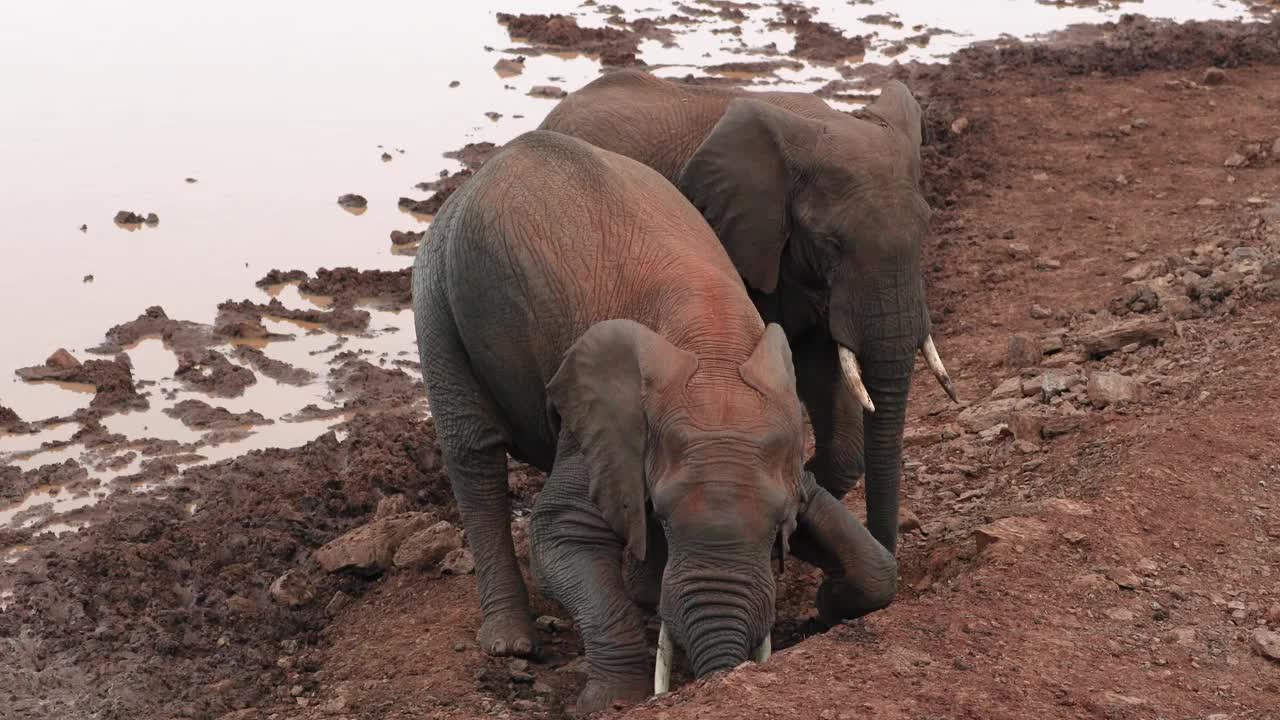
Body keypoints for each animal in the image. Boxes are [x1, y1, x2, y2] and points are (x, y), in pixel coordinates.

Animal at [414, 130, 896, 712]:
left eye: (777, 527)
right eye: (663, 515)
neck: (715, 350)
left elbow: (871, 564)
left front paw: (830, 602)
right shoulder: (599, 424)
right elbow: (559, 532)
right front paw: (613, 702)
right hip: (437, 294)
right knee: (472, 449)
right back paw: (512, 644)